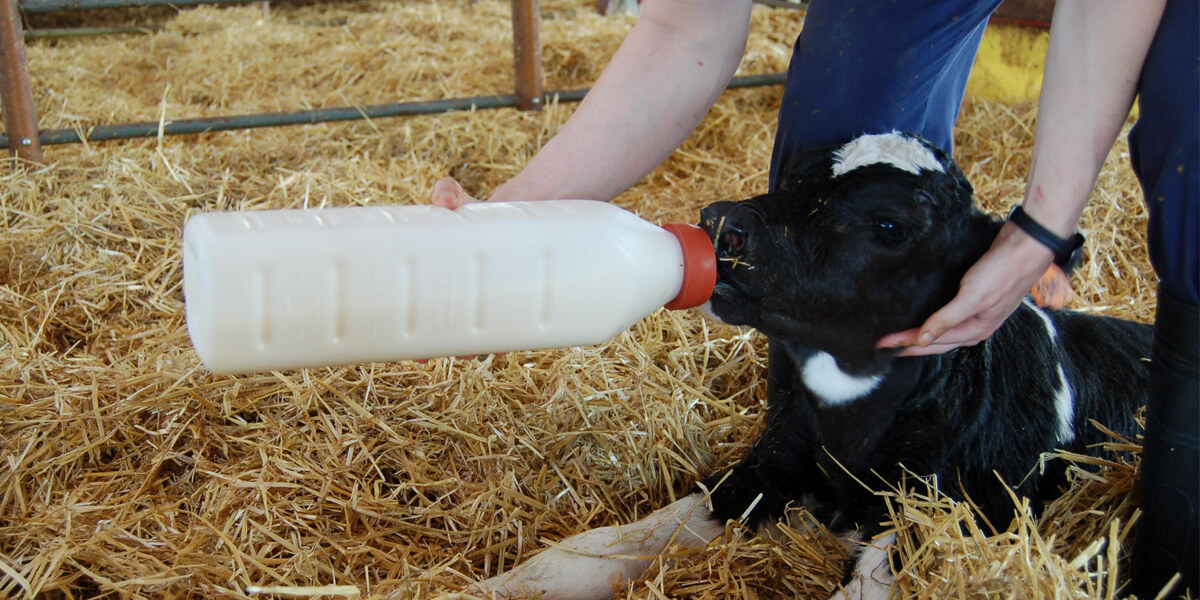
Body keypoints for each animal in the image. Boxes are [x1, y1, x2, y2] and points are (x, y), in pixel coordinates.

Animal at [470, 133, 1152, 597]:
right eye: (795, 175)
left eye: (890, 225)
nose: (722, 222)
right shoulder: (768, 464)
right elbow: (606, 544)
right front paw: (497, 585)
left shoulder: (933, 516)